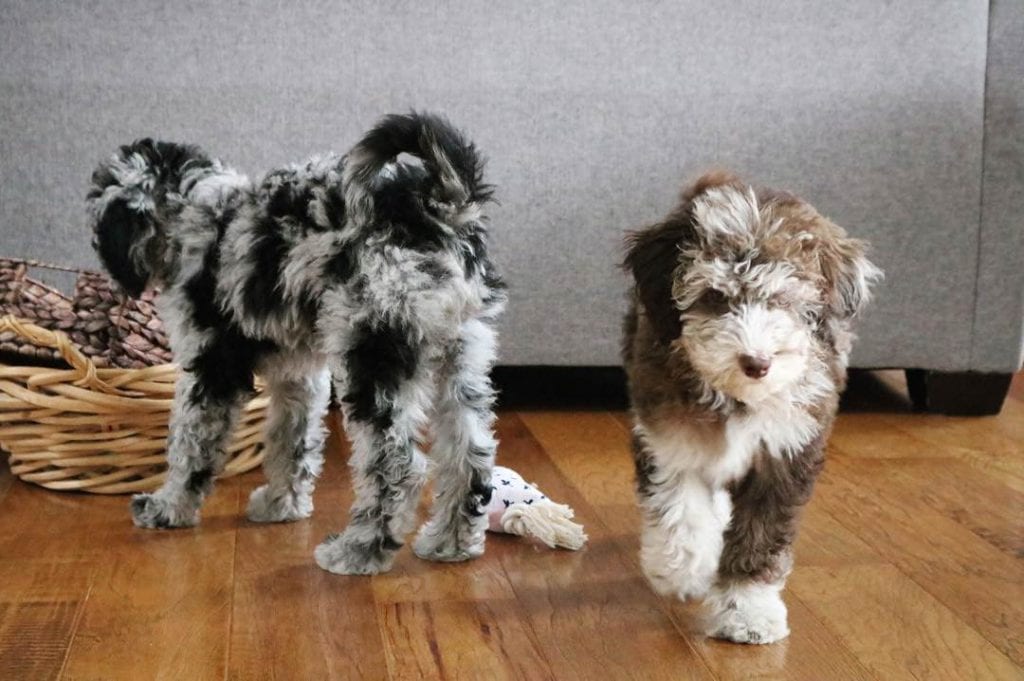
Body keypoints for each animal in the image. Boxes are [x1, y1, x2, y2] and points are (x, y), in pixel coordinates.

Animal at [86, 112, 505, 573]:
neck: (195, 213)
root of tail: (436, 205)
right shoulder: (298, 374)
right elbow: (291, 439)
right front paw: (281, 504)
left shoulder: (212, 365)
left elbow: (190, 443)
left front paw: (169, 507)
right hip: (463, 350)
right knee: (470, 455)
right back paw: (451, 544)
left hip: (372, 349)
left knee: (398, 464)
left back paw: (359, 550)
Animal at [618, 171, 884, 643]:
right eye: (714, 296)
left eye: (785, 301)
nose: (757, 362)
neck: (737, 397)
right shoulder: (669, 435)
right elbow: (679, 509)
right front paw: (682, 572)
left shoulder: (786, 452)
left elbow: (760, 536)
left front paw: (747, 612)